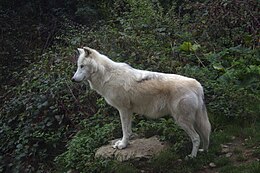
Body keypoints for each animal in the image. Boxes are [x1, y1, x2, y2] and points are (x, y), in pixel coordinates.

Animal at [71, 46, 211, 157]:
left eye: (82, 66)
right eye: (78, 66)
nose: (72, 79)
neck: (107, 75)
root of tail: (197, 85)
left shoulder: (123, 110)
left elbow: (125, 130)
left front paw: (122, 145)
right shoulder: (129, 111)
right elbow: (128, 130)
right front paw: (125, 144)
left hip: (182, 120)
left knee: (196, 138)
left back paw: (192, 157)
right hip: (194, 120)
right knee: (205, 135)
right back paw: (204, 151)